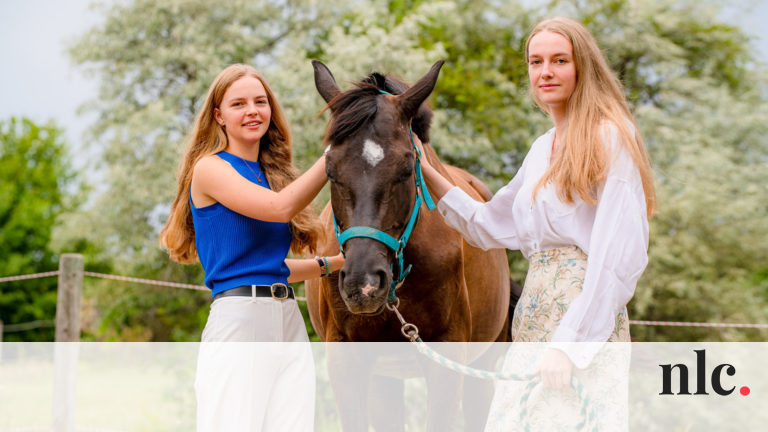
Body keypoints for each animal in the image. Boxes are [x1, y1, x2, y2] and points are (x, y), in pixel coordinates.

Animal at [304, 60, 510, 432]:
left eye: (405, 167)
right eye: (329, 169)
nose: (363, 285)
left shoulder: (448, 358)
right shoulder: (345, 360)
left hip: (481, 366)